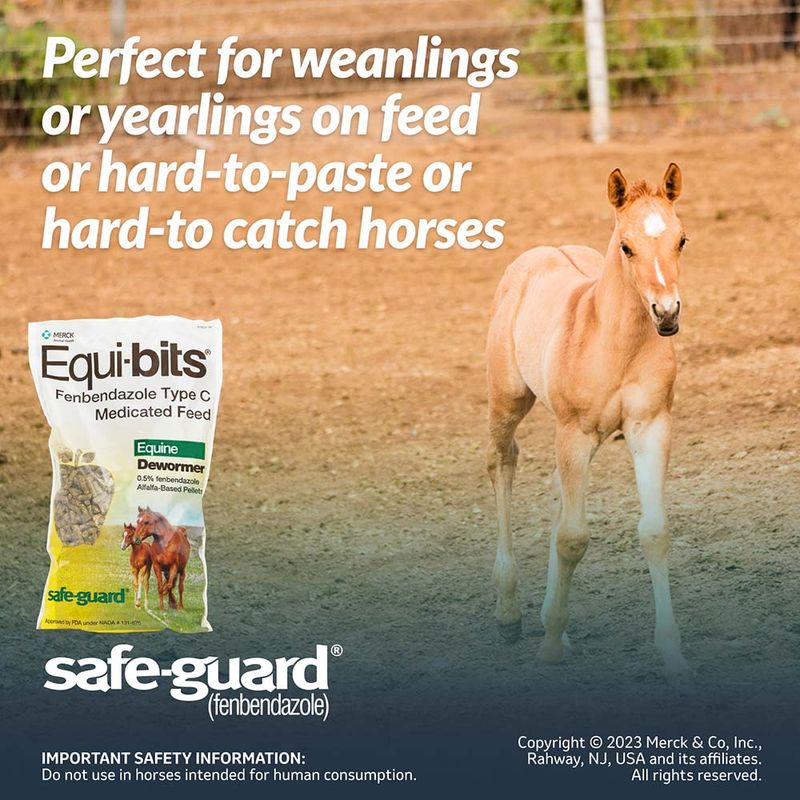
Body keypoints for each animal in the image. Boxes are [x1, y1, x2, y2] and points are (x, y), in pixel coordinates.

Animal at [486, 163, 690, 680]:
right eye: (627, 246)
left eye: (681, 239)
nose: (667, 313)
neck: (616, 342)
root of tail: (540, 252)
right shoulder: (574, 433)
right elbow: (574, 538)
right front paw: (550, 646)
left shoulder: (651, 426)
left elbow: (654, 532)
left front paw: (673, 655)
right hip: (508, 400)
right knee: (502, 463)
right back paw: (509, 615)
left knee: (557, 492)